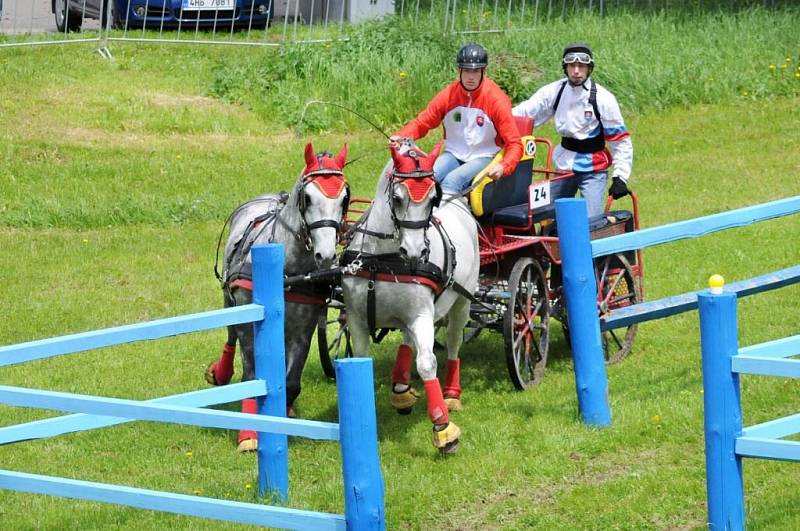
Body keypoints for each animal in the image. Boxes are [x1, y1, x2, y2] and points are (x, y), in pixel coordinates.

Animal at [205, 142, 348, 454]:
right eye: (307, 197)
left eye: (344, 197)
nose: (327, 255)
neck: (287, 270)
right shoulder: (247, 320)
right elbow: (250, 376)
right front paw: (249, 434)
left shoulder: (304, 328)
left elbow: (292, 382)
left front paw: (285, 411)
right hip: (230, 300)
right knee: (230, 336)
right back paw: (220, 372)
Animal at [340, 143, 478, 456]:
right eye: (398, 197)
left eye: (431, 199)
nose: (415, 251)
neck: (382, 260)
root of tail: (458, 201)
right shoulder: (356, 318)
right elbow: (363, 360)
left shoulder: (421, 315)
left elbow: (427, 363)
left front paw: (443, 429)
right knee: (407, 340)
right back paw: (401, 388)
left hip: (461, 302)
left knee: (453, 341)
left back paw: (452, 393)